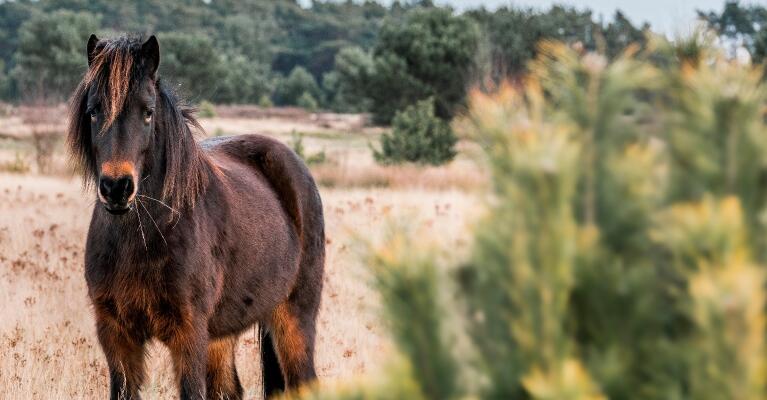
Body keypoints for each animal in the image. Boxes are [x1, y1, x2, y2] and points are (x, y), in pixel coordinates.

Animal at [67, 35, 328, 400]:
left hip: (294, 318)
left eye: (148, 113)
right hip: (222, 334)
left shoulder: (189, 333)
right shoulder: (116, 334)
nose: (117, 188)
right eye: (93, 111)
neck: (145, 236)